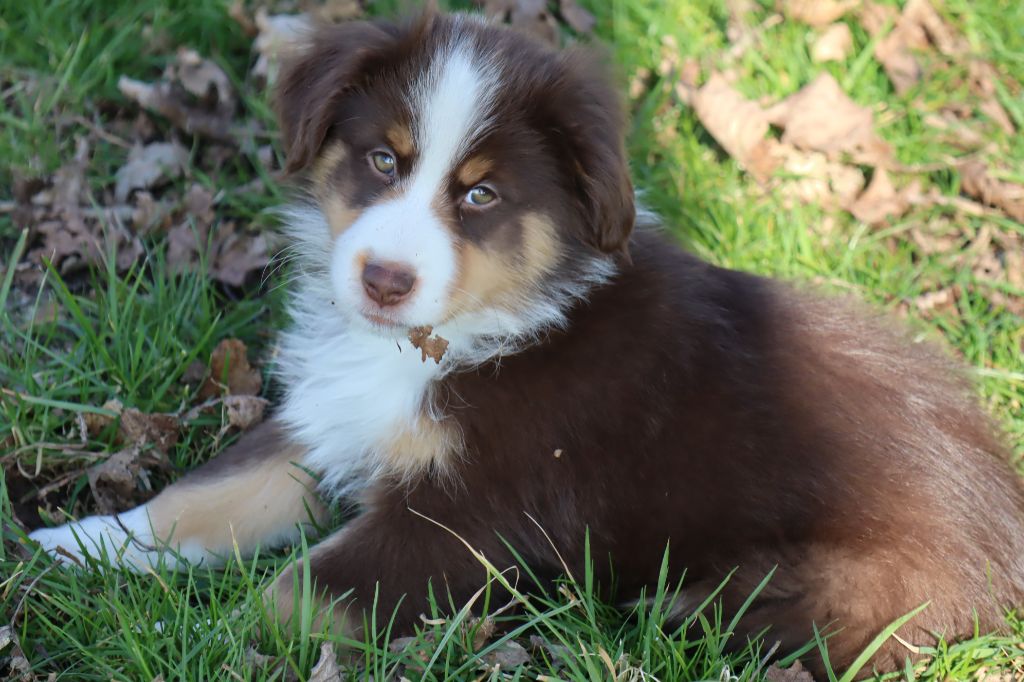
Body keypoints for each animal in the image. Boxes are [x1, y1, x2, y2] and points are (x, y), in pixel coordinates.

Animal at [29, 10, 1024, 675]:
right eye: (383, 159)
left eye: (481, 195)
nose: (383, 280)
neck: (455, 339)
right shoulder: (332, 425)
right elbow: (204, 496)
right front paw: (74, 548)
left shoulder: (468, 519)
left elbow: (289, 594)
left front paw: (178, 636)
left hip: (813, 594)